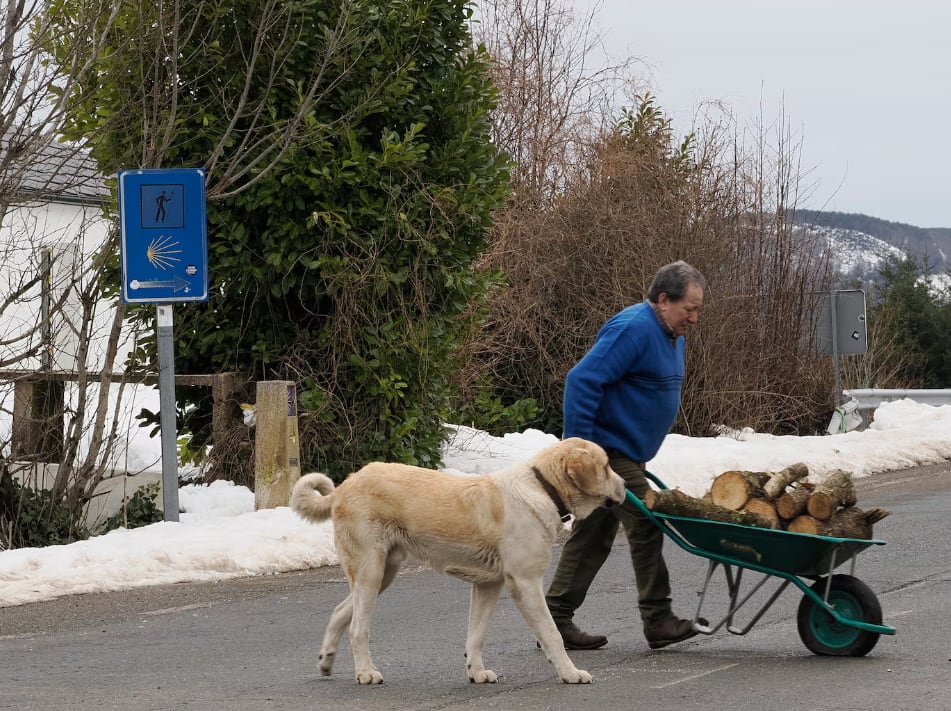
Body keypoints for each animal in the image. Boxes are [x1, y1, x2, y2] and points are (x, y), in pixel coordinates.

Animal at [290, 437, 626, 685]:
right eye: (607, 466)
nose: (625, 485)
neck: (544, 488)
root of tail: (344, 486)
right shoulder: (526, 583)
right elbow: (552, 633)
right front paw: (570, 673)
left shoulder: (489, 585)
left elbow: (476, 635)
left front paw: (476, 673)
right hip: (371, 570)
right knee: (358, 627)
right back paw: (366, 673)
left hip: (383, 573)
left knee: (340, 611)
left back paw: (326, 661)